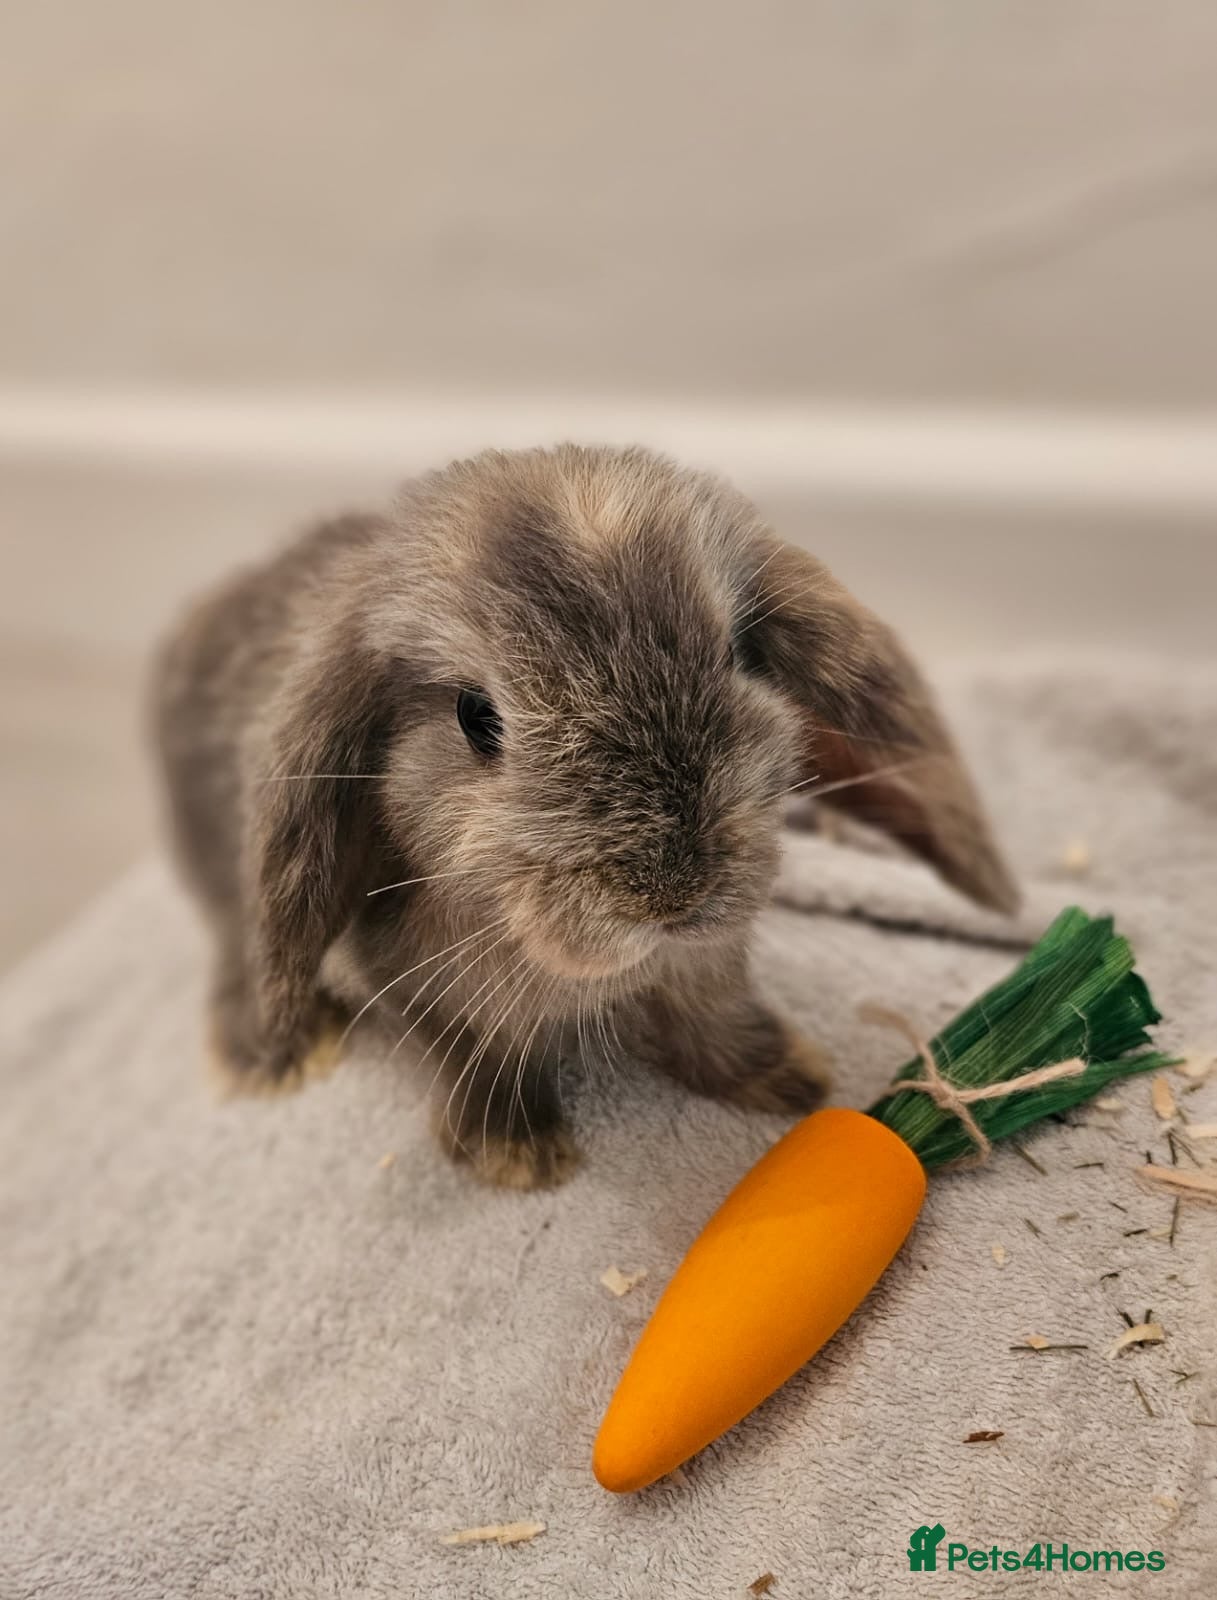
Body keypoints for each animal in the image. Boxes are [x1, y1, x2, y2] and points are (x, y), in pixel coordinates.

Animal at [153, 444, 1018, 1190]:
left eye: (741, 654)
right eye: (476, 718)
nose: (674, 895)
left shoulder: (708, 965)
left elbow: (713, 1019)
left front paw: (790, 1077)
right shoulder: (422, 990)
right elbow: (482, 1056)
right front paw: (518, 1156)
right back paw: (269, 1053)